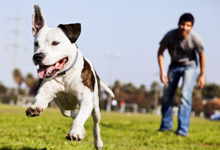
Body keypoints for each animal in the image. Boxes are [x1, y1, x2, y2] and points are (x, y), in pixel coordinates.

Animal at [25, 4, 114, 150]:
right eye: (36, 44)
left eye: (55, 43)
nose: (37, 56)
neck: (64, 75)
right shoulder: (46, 91)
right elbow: (40, 99)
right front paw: (35, 108)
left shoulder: (86, 100)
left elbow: (81, 117)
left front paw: (75, 132)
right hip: (64, 108)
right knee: (72, 113)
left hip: (96, 106)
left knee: (95, 125)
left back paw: (97, 142)